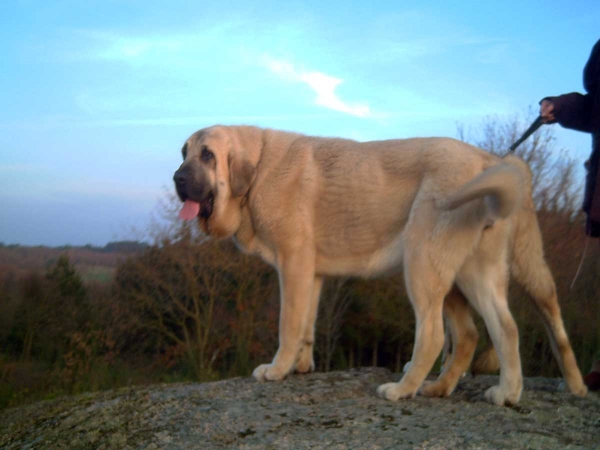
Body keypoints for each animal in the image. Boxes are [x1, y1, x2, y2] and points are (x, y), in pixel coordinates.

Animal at [172, 125, 584, 406]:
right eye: (183, 152)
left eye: (207, 155)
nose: (177, 177)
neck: (258, 170)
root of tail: (490, 160)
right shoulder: (312, 274)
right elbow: (307, 324)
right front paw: (301, 366)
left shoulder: (293, 265)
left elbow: (288, 324)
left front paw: (276, 370)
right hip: (471, 274)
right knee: (499, 329)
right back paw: (493, 392)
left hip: (423, 264)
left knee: (435, 335)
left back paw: (403, 390)